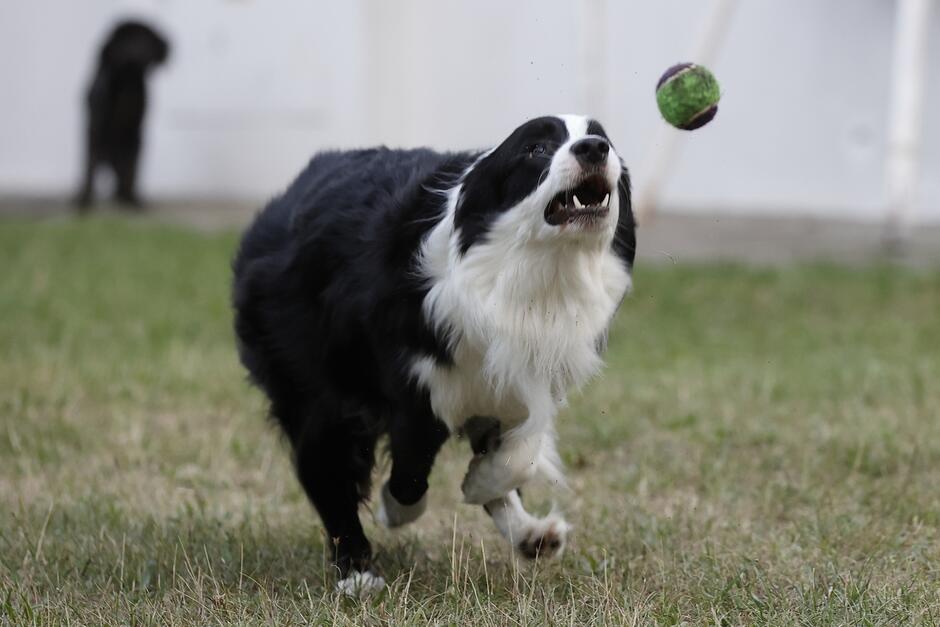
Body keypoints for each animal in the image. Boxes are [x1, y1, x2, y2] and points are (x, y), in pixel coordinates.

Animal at [76, 20, 168, 210]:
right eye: (147, 35)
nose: (167, 44)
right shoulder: (94, 131)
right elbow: (89, 166)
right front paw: (84, 202)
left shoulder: (134, 137)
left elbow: (130, 170)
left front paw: (130, 199)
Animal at [231, 115, 636, 596]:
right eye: (536, 148)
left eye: (605, 140)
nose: (593, 149)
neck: (539, 267)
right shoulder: (417, 386)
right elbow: (410, 470)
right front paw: (393, 509)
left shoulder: (521, 376)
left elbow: (521, 454)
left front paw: (483, 485)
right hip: (311, 372)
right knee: (324, 465)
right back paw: (357, 572)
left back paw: (532, 535)